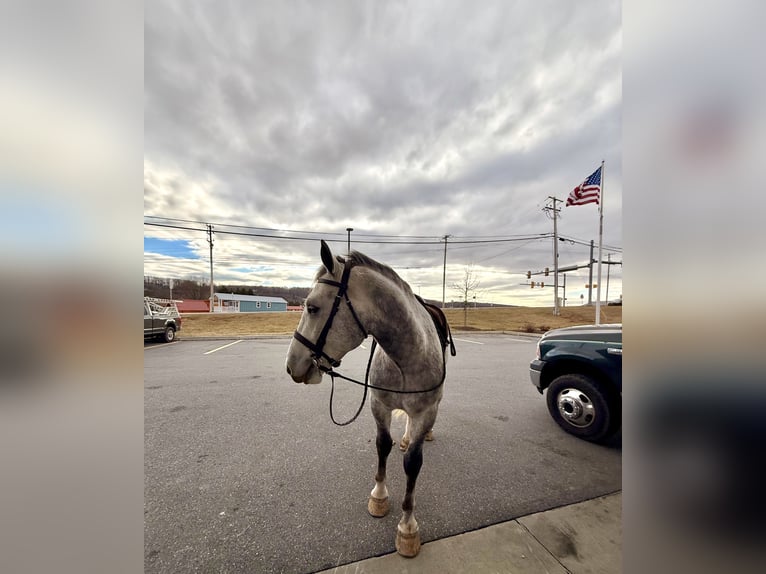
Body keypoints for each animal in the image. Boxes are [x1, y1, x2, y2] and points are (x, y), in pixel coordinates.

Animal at [285, 240, 456, 557]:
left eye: (312, 307)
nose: (292, 365)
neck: (405, 356)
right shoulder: (380, 406)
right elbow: (382, 446)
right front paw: (379, 496)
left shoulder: (425, 411)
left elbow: (413, 463)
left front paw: (407, 526)